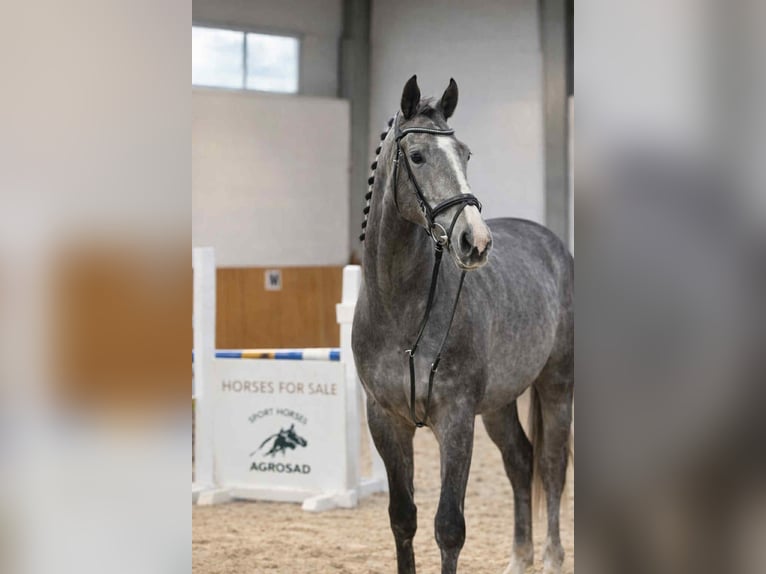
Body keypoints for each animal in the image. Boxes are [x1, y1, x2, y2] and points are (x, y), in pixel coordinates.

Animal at [351, 75, 573, 574]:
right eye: (417, 156)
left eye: (465, 154)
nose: (476, 241)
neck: (401, 309)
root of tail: (552, 243)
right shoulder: (385, 419)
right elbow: (403, 518)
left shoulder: (454, 419)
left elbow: (449, 526)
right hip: (498, 403)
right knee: (520, 460)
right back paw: (519, 559)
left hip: (556, 385)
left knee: (552, 466)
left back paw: (551, 558)